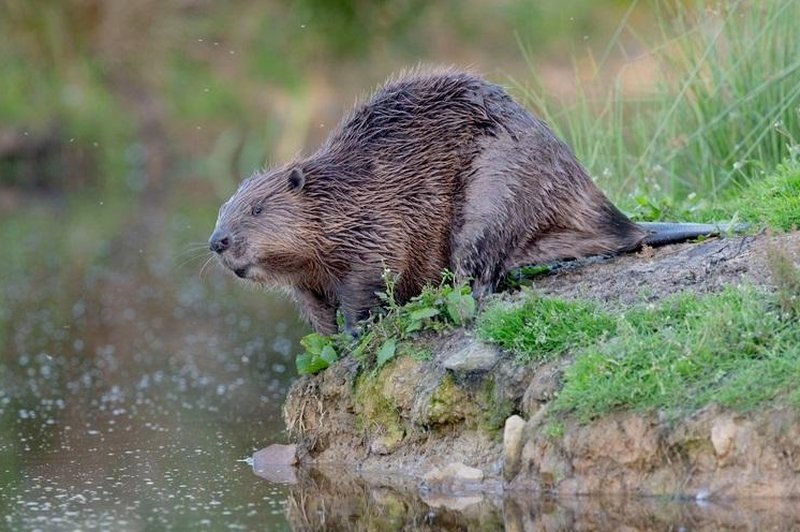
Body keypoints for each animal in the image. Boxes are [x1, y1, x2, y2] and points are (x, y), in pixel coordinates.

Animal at [209, 66, 720, 332]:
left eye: (256, 208)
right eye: (222, 211)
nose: (218, 242)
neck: (342, 195)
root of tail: (624, 224)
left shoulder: (375, 225)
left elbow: (368, 280)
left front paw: (355, 334)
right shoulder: (308, 277)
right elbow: (316, 310)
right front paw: (331, 343)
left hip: (497, 188)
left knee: (479, 272)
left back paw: (447, 296)